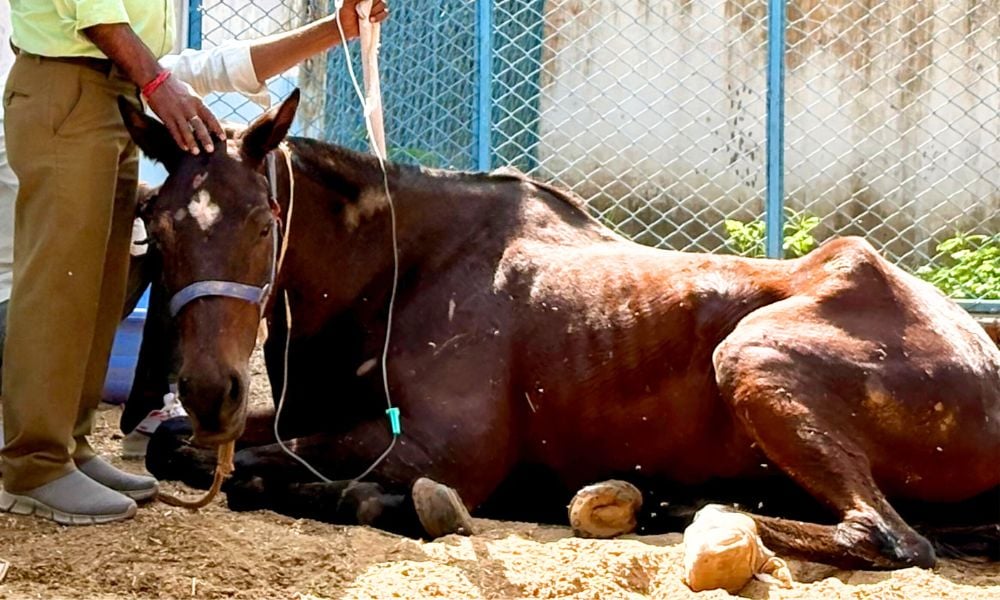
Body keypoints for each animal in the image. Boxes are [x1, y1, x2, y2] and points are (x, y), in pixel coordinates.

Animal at [117, 90, 1000, 570]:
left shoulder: (440, 448)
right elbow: (175, 447)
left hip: (753, 360)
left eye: (265, 221)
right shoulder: (296, 418)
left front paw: (403, 505)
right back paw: (653, 502)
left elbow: (269, 476)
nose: (210, 389)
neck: (405, 274)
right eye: (153, 224)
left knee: (887, 537)